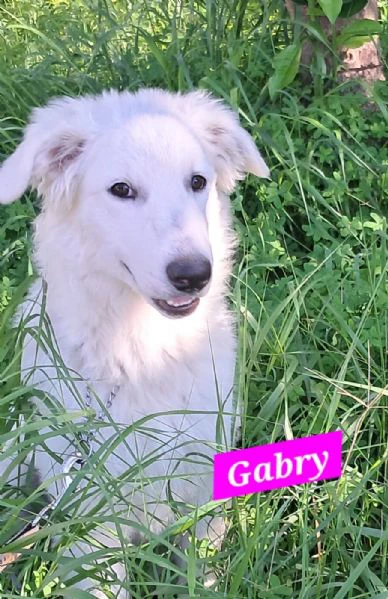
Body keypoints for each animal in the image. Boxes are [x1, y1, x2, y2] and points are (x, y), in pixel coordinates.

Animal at [0, 88, 268, 596]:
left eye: (197, 182)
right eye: (121, 190)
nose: (193, 275)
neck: (144, 354)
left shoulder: (202, 483)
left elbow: (202, 571)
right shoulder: (92, 511)